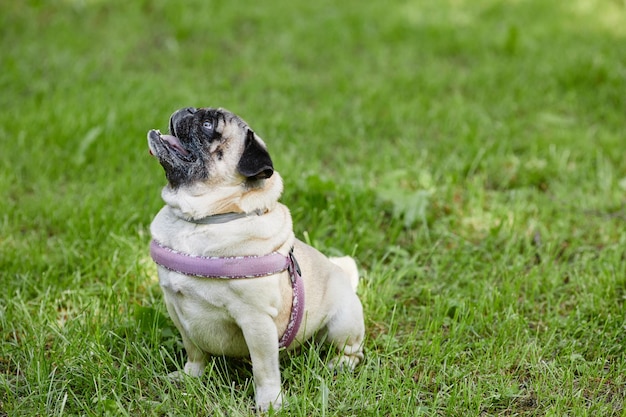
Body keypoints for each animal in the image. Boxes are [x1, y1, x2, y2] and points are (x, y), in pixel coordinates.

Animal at [147, 106, 364, 410]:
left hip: (343, 323)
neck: (203, 220)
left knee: (353, 350)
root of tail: (344, 277)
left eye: (207, 124)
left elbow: (264, 369)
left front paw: (270, 402)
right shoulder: (175, 306)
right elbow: (194, 350)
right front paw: (191, 376)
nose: (187, 110)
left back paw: (339, 364)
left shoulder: (255, 320)